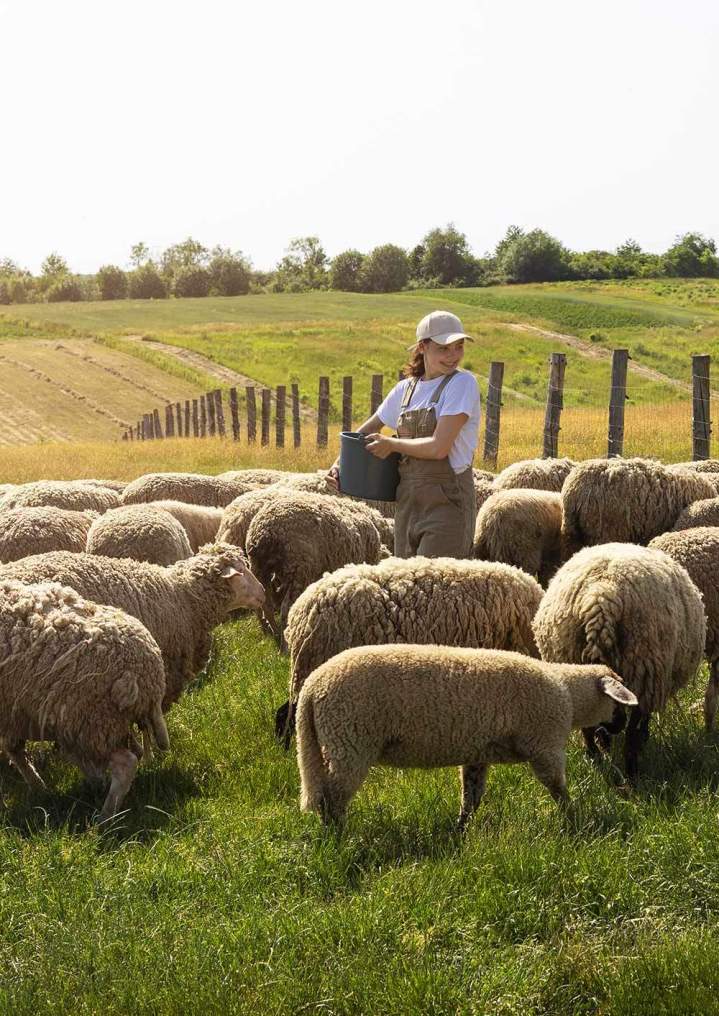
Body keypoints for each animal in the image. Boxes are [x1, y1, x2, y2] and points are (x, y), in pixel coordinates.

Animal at [0, 579, 168, 821]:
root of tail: (149, 669)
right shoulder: (13, 712)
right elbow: (13, 747)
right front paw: (38, 786)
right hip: (96, 724)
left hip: (92, 721)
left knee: (125, 764)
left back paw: (105, 818)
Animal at [245, 490, 389, 644]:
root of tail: (265, 531)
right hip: (299, 570)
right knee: (286, 609)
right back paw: (284, 640)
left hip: (259, 568)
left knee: (265, 603)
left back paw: (272, 631)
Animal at [297, 644, 636, 827]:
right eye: (618, 703)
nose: (621, 727)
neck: (568, 693)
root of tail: (311, 690)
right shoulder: (545, 745)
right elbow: (557, 788)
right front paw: (575, 819)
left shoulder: (478, 754)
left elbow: (471, 796)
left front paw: (461, 829)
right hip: (349, 740)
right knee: (332, 799)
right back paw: (338, 839)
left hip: (332, 742)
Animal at [532, 542, 706, 780]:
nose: (613, 726)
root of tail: (601, 596)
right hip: (645, 667)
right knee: (631, 732)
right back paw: (632, 774)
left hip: (576, 665)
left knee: (589, 726)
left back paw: (595, 757)